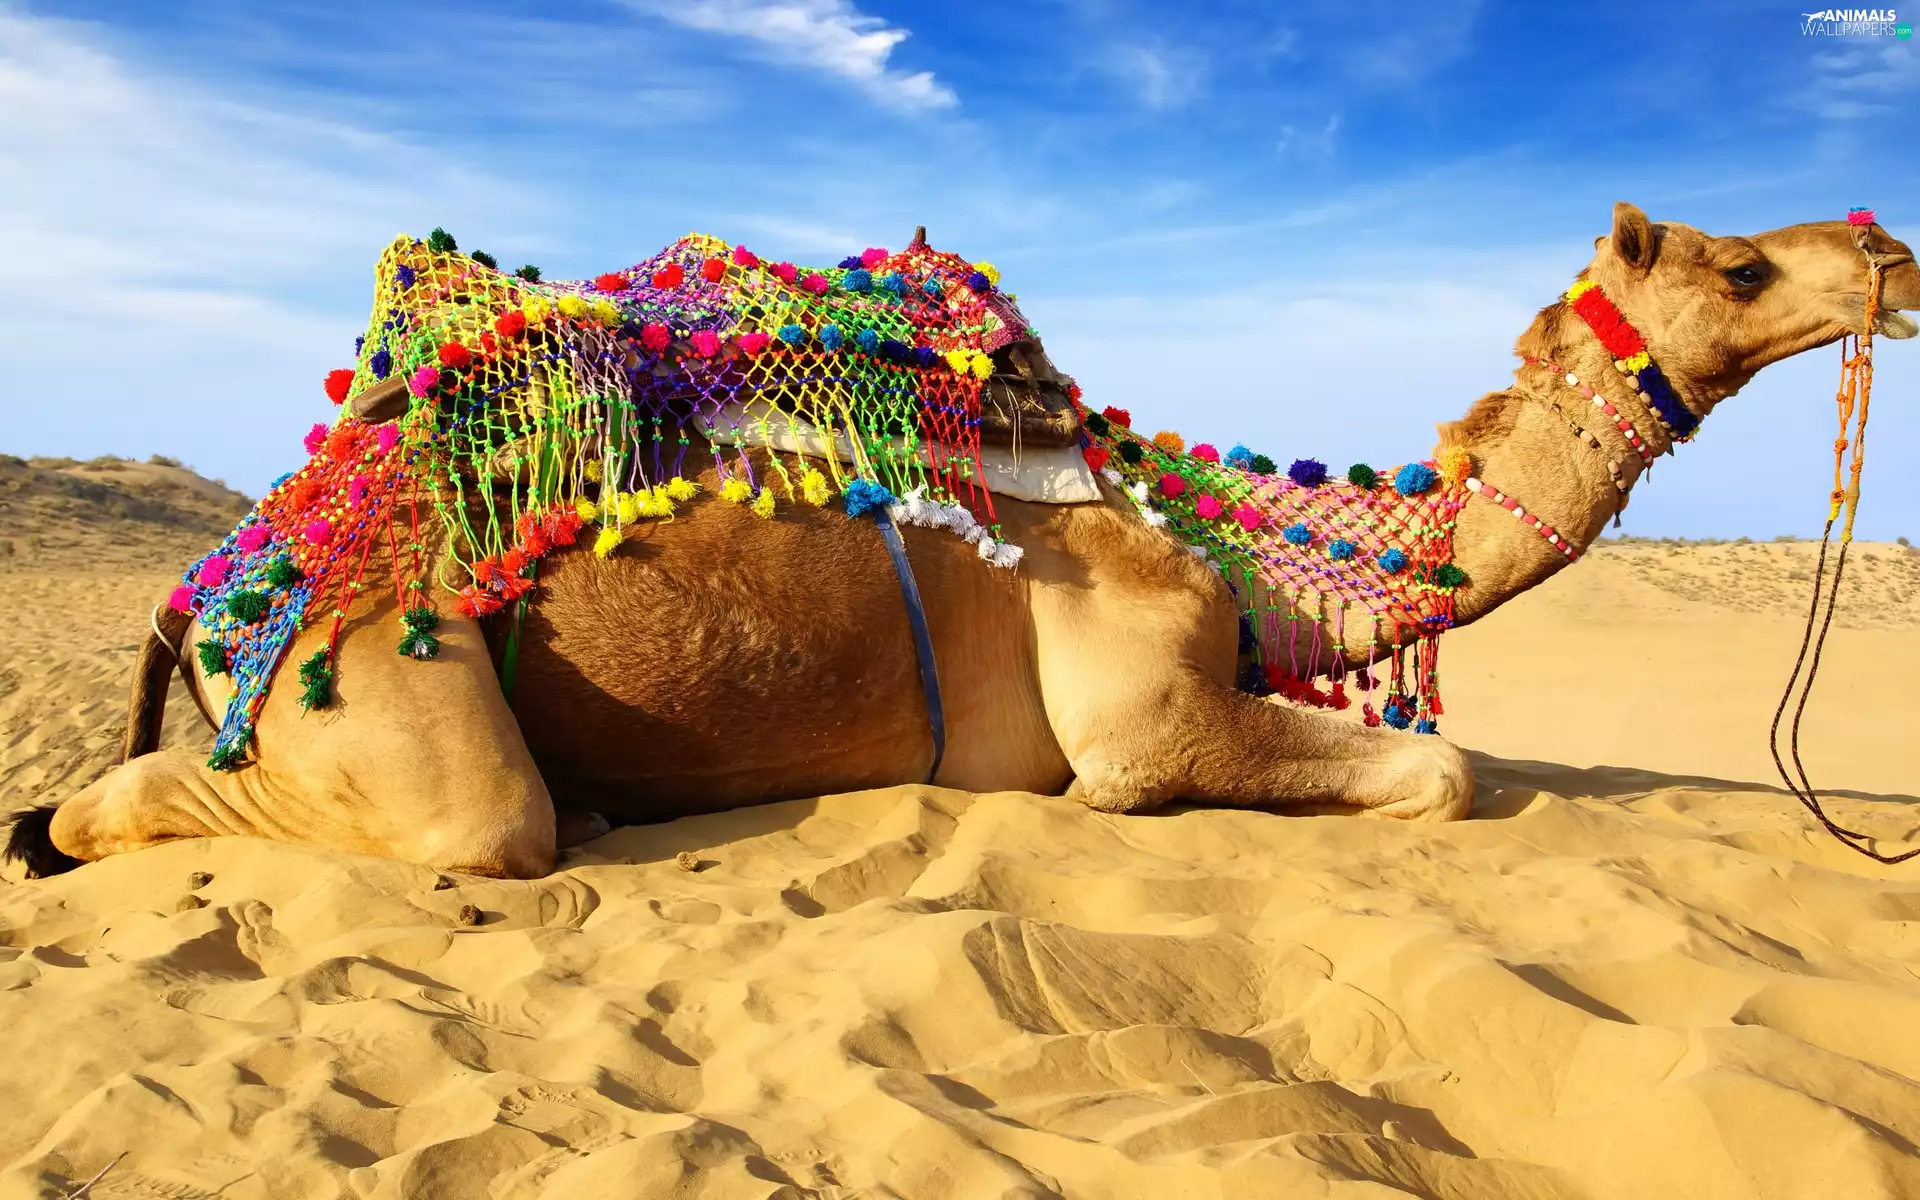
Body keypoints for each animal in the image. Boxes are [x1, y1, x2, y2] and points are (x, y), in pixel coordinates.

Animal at [7, 203, 1917, 881]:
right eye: (1738, 265)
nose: (1889, 251)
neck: (1245, 561)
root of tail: (231, 569)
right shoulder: (1142, 715)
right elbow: (1442, 775)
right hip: (367, 662)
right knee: (406, 818)